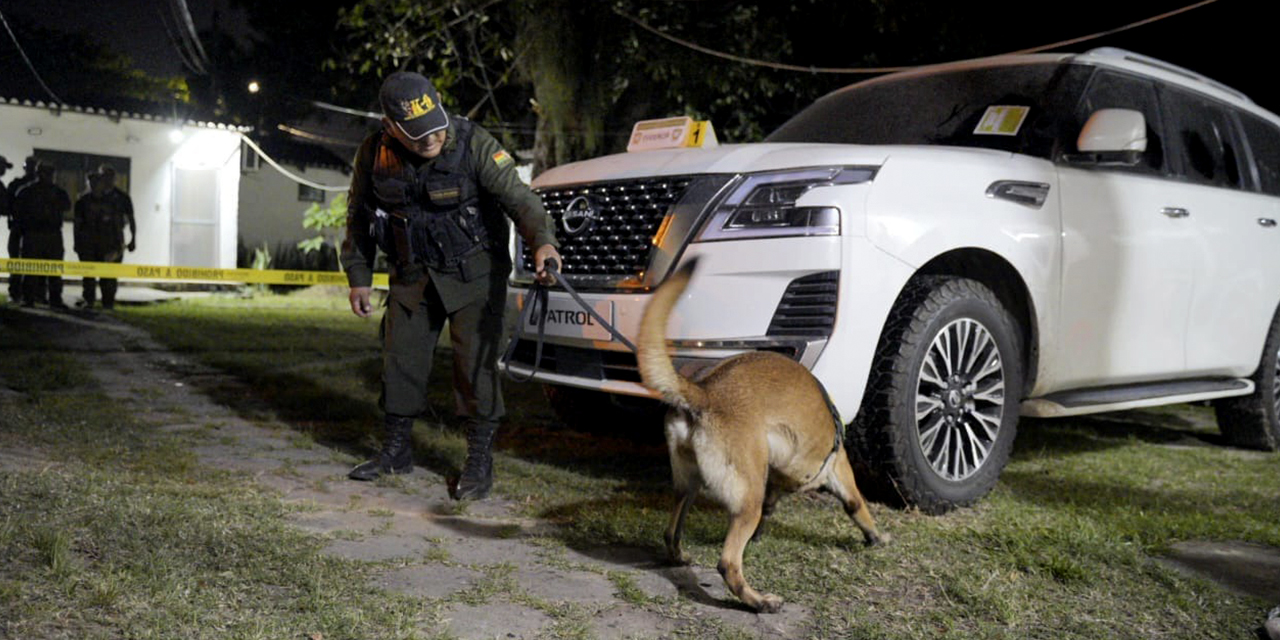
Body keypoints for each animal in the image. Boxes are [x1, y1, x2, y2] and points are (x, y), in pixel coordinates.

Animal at [637, 257, 885, 611]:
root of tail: (705, 393)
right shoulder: (839, 467)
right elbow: (856, 504)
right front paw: (875, 535)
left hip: (690, 484)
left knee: (672, 531)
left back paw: (680, 557)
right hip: (746, 500)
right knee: (728, 563)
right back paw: (758, 600)